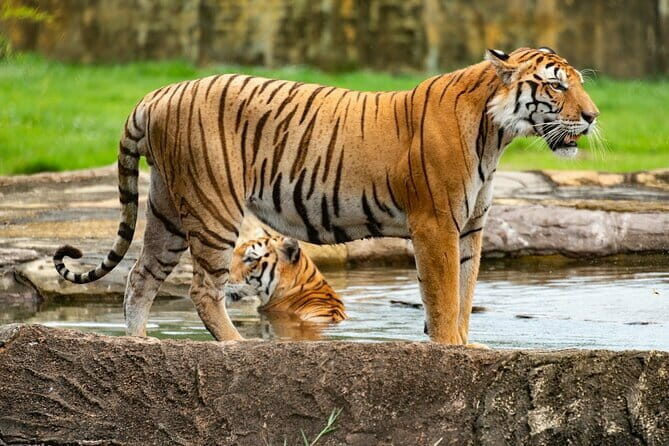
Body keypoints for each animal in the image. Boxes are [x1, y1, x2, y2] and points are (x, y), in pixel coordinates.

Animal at [53, 46, 599, 344]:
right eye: (556, 87)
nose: (593, 116)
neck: (496, 133)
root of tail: (156, 94)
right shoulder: (436, 224)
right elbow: (443, 299)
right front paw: (450, 350)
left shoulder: (470, 228)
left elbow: (464, 297)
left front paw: (466, 347)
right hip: (212, 205)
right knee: (203, 288)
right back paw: (236, 346)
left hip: (167, 206)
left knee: (140, 277)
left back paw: (140, 344)